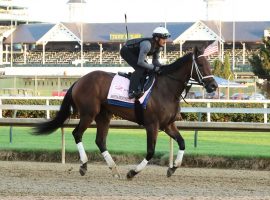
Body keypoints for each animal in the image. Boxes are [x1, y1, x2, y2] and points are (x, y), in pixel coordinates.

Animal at [34, 46, 217, 180]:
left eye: (210, 64)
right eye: (201, 65)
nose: (213, 86)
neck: (166, 89)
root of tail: (79, 80)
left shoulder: (168, 125)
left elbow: (182, 143)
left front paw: (172, 168)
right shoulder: (152, 125)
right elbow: (150, 151)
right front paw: (132, 172)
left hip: (103, 116)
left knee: (100, 141)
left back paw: (114, 169)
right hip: (88, 113)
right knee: (77, 133)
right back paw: (84, 165)